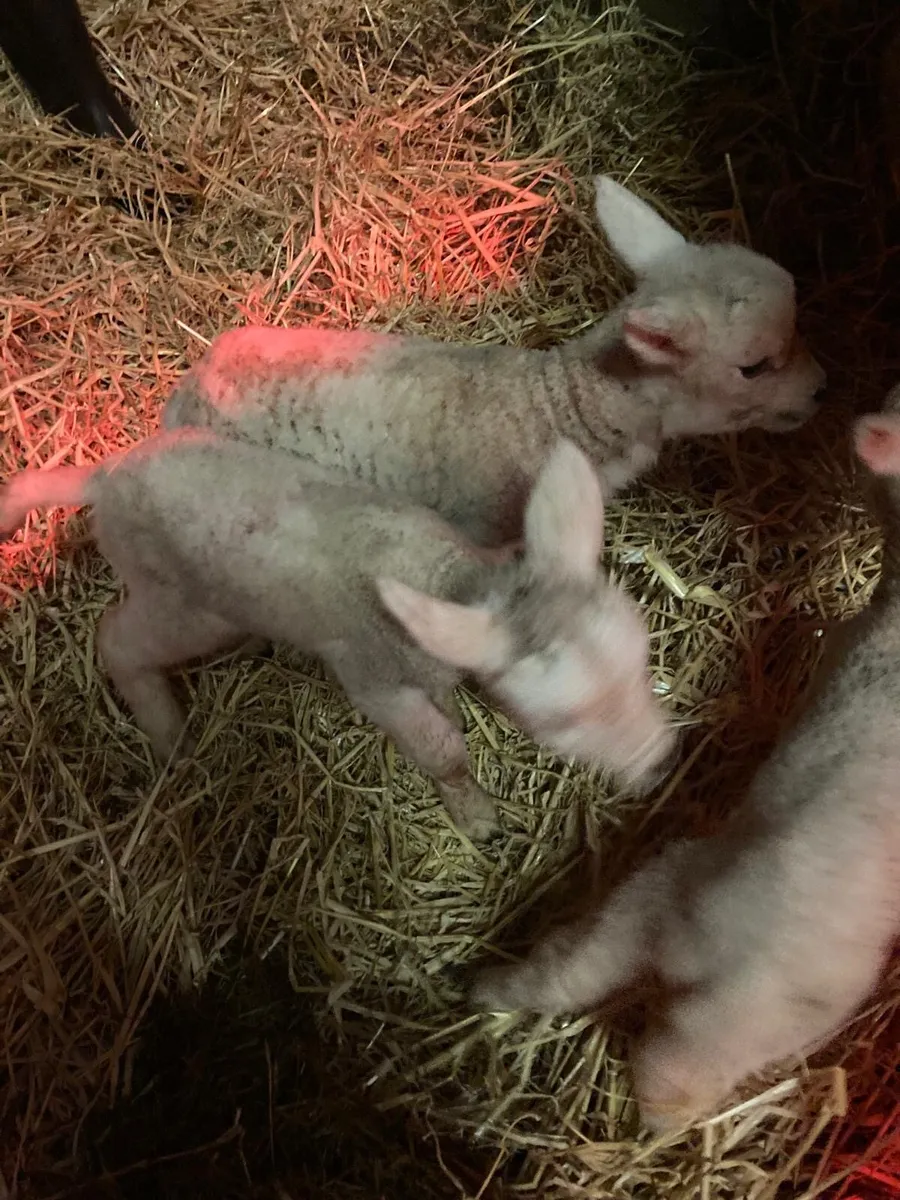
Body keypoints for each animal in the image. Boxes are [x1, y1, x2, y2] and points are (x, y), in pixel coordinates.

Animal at [0, 431, 676, 841]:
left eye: (643, 666)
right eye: (565, 721)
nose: (662, 760)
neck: (442, 574)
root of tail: (104, 477)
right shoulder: (373, 679)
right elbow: (442, 750)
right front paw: (474, 813)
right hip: (178, 597)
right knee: (117, 638)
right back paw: (169, 734)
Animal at [471, 395, 900, 1125]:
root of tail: (703, 953)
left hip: (663, 904)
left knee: (585, 981)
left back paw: (489, 992)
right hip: (721, 982)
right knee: (654, 1057)